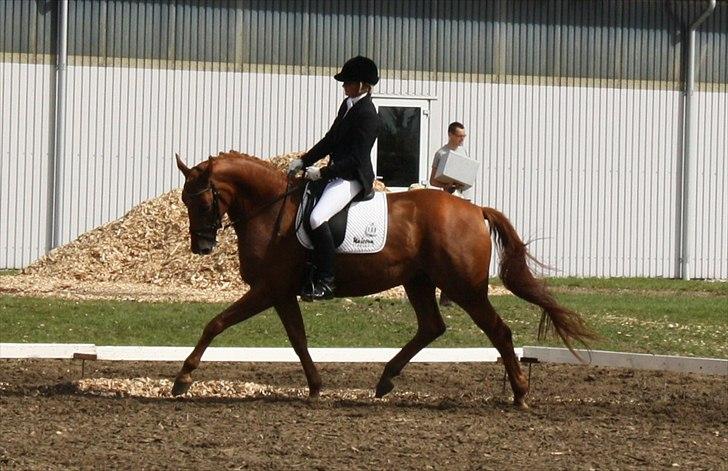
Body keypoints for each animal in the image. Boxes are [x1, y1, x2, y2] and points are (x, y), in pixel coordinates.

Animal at [173, 152, 596, 410]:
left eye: (202, 200)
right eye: (184, 201)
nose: (201, 247)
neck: (270, 209)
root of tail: (475, 209)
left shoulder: (267, 290)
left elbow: (216, 323)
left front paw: (183, 379)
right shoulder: (281, 293)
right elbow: (298, 339)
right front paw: (316, 386)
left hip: (464, 287)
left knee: (498, 331)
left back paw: (520, 394)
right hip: (419, 281)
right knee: (431, 327)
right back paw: (385, 381)